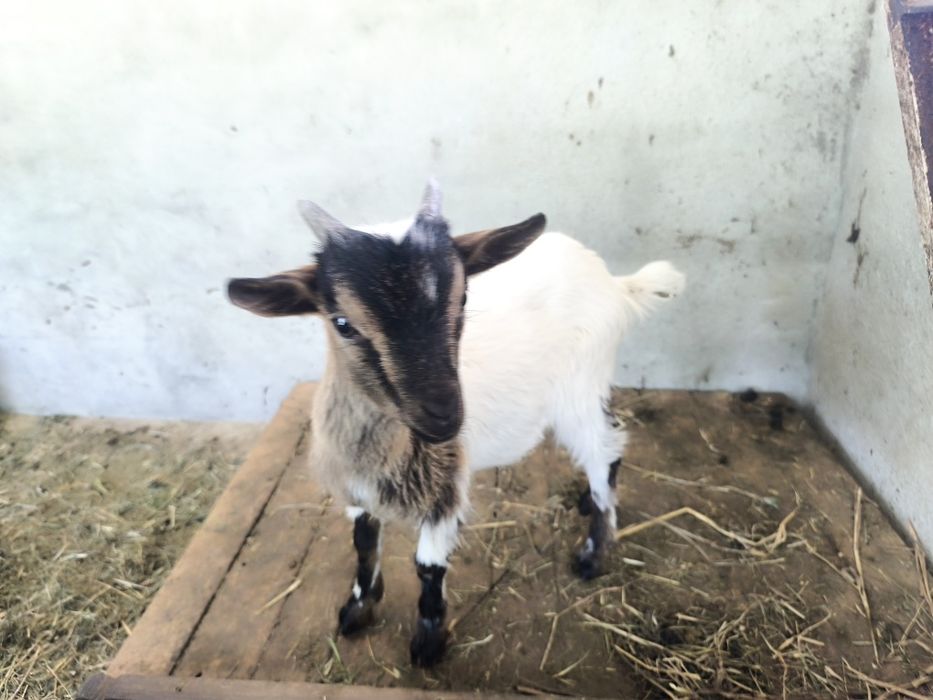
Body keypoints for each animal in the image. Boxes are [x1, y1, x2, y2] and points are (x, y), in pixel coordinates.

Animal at [227, 181, 685, 667]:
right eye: (343, 323)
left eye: (462, 298)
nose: (444, 414)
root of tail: (618, 285)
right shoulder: (357, 488)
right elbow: (364, 544)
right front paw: (358, 609)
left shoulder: (444, 491)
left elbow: (428, 568)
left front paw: (428, 644)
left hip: (578, 388)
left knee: (605, 452)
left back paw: (593, 554)